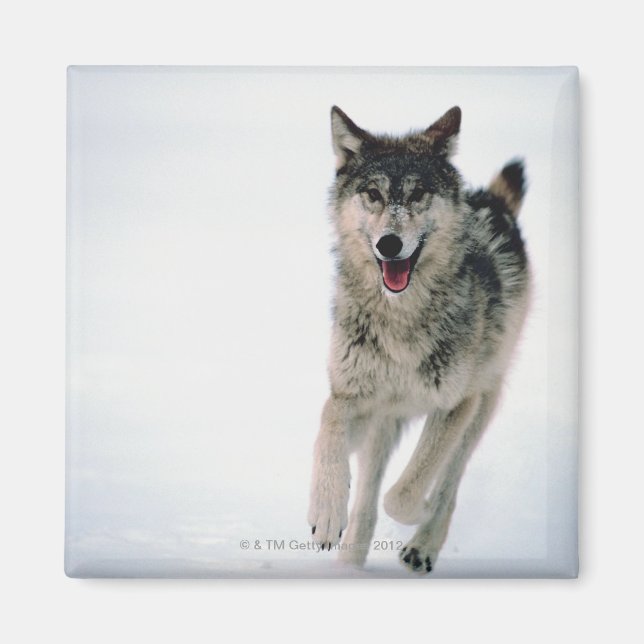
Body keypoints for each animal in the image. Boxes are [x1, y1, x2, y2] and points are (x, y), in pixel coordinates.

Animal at [307, 105, 530, 573]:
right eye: (373, 194)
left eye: (418, 194)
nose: (390, 243)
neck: (401, 321)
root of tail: (492, 201)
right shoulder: (352, 396)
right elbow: (327, 425)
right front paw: (326, 510)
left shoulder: (456, 404)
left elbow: (406, 493)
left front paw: (421, 510)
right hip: (384, 425)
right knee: (368, 498)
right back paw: (349, 564)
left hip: (480, 407)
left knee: (449, 481)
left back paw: (424, 543)